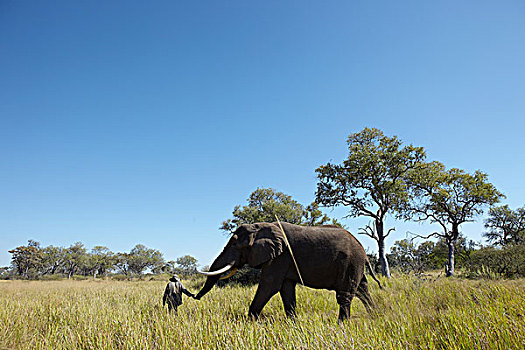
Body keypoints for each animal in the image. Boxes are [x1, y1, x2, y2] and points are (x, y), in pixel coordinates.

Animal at [195, 223, 380, 322]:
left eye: (235, 245)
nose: (193, 296)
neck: (260, 226)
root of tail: (363, 250)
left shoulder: (281, 256)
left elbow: (270, 285)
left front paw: (250, 322)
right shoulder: (283, 260)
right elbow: (286, 290)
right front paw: (292, 322)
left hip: (350, 263)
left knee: (345, 295)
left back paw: (341, 324)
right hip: (355, 266)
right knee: (363, 290)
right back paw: (376, 316)